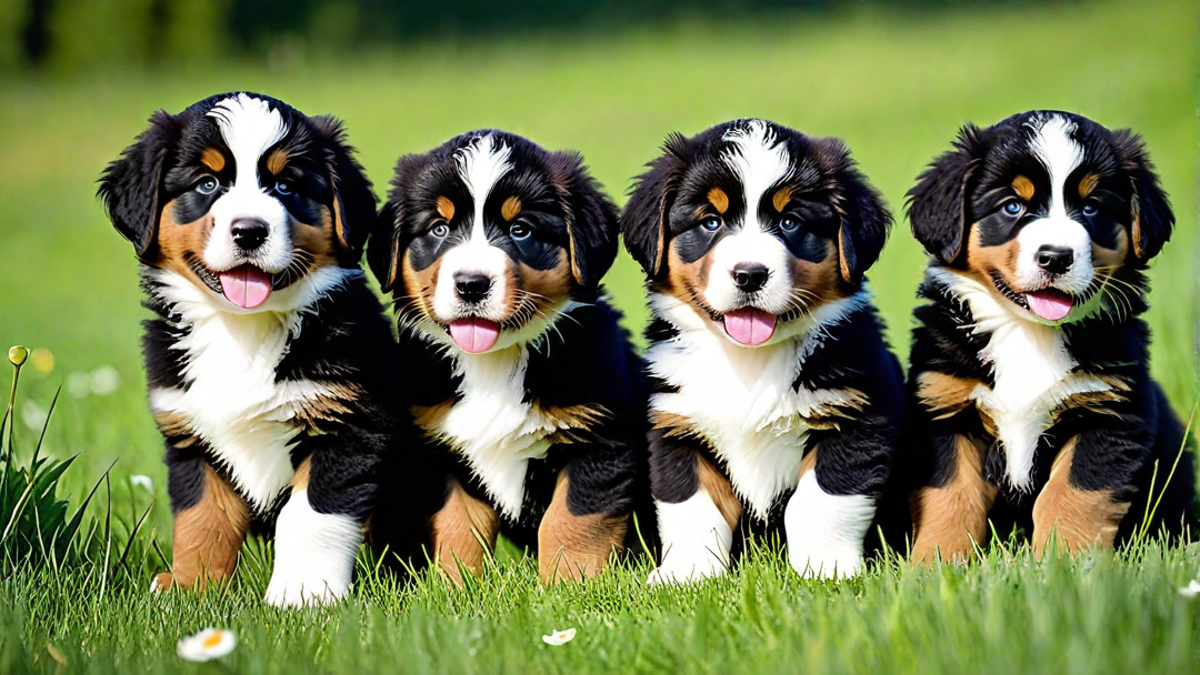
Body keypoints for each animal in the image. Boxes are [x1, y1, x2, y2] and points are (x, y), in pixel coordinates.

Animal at [98, 90, 408, 605]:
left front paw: (302, 595)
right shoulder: (190, 432)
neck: (241, 330)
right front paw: (191, 589)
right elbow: (201, 519)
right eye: (207, 183)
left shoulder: (348, 424)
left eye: (285, 186)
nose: (249, 230)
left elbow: (309, 517)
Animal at [367, 128, 652, 581]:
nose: (471, 284)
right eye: (439, 229)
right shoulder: (442, 448)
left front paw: (570, 583)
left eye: (520, 230)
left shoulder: (601, 436)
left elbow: (572, 520)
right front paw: (457, 585)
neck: (496, 360)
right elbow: (458, 526)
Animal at [619, 119, 902, 578]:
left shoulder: (857, 415)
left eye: (789, 222)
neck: (749, 361)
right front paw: (686, 574)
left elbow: (822, 501)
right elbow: (690, 507)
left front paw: (825, 567)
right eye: (711, 222)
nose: (749, 274)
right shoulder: (676, 422)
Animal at [902, 110, 1195, 559]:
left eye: (1091, 208)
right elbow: (951, 497)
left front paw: (1066, 561)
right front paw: (936, 563)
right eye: (1012, 206)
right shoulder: (945, 408)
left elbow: (1071, 494)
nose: (1055, 257)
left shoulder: (1111, 411)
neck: (1028, 334)